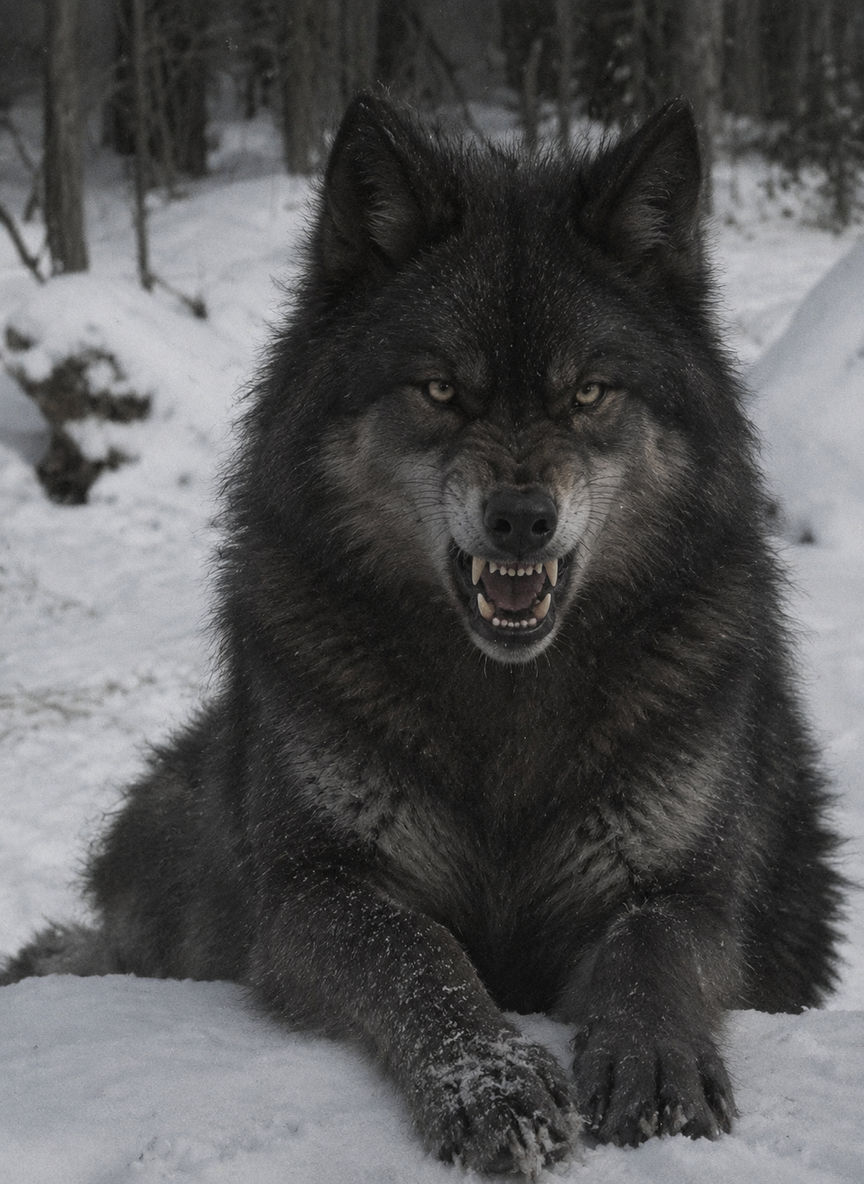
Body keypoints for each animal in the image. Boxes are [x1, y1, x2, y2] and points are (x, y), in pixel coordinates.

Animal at [2, 95, 844, 1176]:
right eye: (443, 391)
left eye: (587, 393)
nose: (521, 517)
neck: (508, 708)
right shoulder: (316, 889)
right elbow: (421, 957)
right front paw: (493, 1083)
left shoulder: (683, 886)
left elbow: (651, 957)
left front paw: (651, 1065)